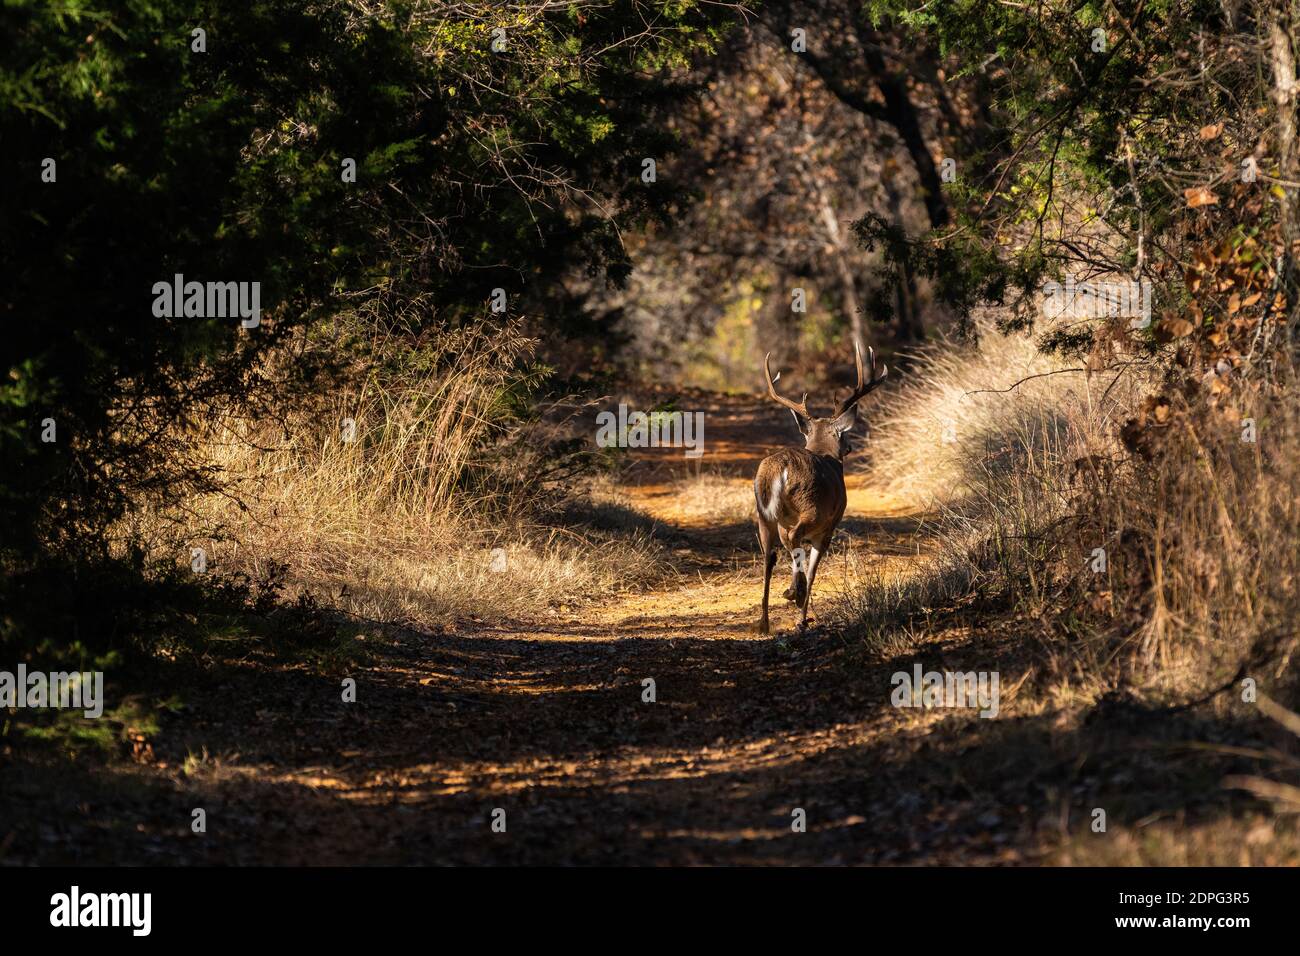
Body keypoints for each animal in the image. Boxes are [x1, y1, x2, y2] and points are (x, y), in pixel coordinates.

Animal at [759, 343, 889, 634]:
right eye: (845, 434)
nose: (849, 447)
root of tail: (782, 467)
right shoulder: (828, 528)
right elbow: (813, 570)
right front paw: (801, 617)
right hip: (813, 507)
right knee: (795, 539)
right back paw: (794, 594)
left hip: (764, 514)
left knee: (769, 555)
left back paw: (763, 622)